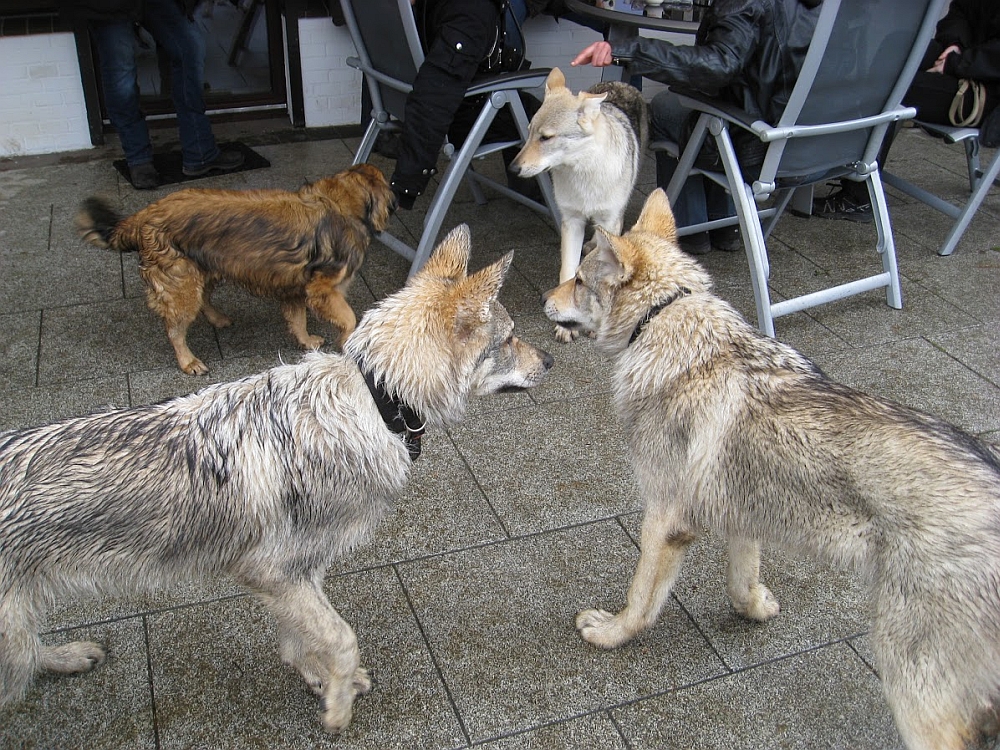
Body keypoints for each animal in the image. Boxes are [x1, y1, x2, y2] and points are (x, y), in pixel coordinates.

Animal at [77, 164, 394, 376]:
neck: (340, 201)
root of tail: (145, 214)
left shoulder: (294, 286)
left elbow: (297, 318)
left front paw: (305, 341)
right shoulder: (322, 288)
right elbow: (349, 318)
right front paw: (348, 343)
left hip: (204, 269)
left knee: (204, 298)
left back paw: (217, 318)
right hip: (181, 282)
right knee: (175, 328)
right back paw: (187, 360)